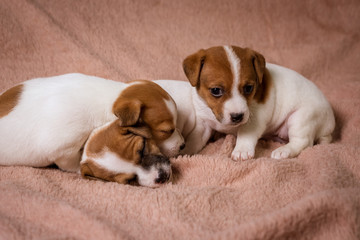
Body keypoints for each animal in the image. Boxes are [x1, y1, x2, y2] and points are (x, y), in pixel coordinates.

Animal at [156, 45, 336, 160]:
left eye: (249, 88)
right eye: (216, 91)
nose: (237, 116)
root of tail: (330, 124)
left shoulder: (254, 119)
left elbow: (246, 134)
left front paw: (241, 150)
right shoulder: (203, 124)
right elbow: (195, 138)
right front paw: (186, 150)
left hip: (301, 118)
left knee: (303, 142)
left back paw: (284, 151)